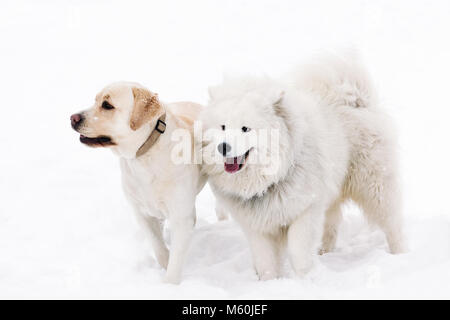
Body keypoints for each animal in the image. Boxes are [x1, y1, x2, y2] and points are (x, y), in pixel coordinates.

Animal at [71, 82, 207, 282]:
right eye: (95, 100)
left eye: (107, 105)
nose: (72, 118)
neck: (143, 156)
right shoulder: (141, 213)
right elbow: (158, 246)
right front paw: (165, 262)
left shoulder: (180, 216)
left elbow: (175, 260)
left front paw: (170, 283)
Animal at [202, 53, 406, 278]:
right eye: (222, 127)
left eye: (245, 128)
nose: (223, 147)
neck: (270, 180)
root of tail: (354, 98)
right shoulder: (258, 227)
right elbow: (265, 261)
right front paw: (270, 281)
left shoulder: (305, 210)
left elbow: (298, 252)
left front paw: (303, 277)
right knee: (332, 225)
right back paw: (325, 252)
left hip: (375, 188)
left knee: (392, 224)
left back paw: (400, 254)